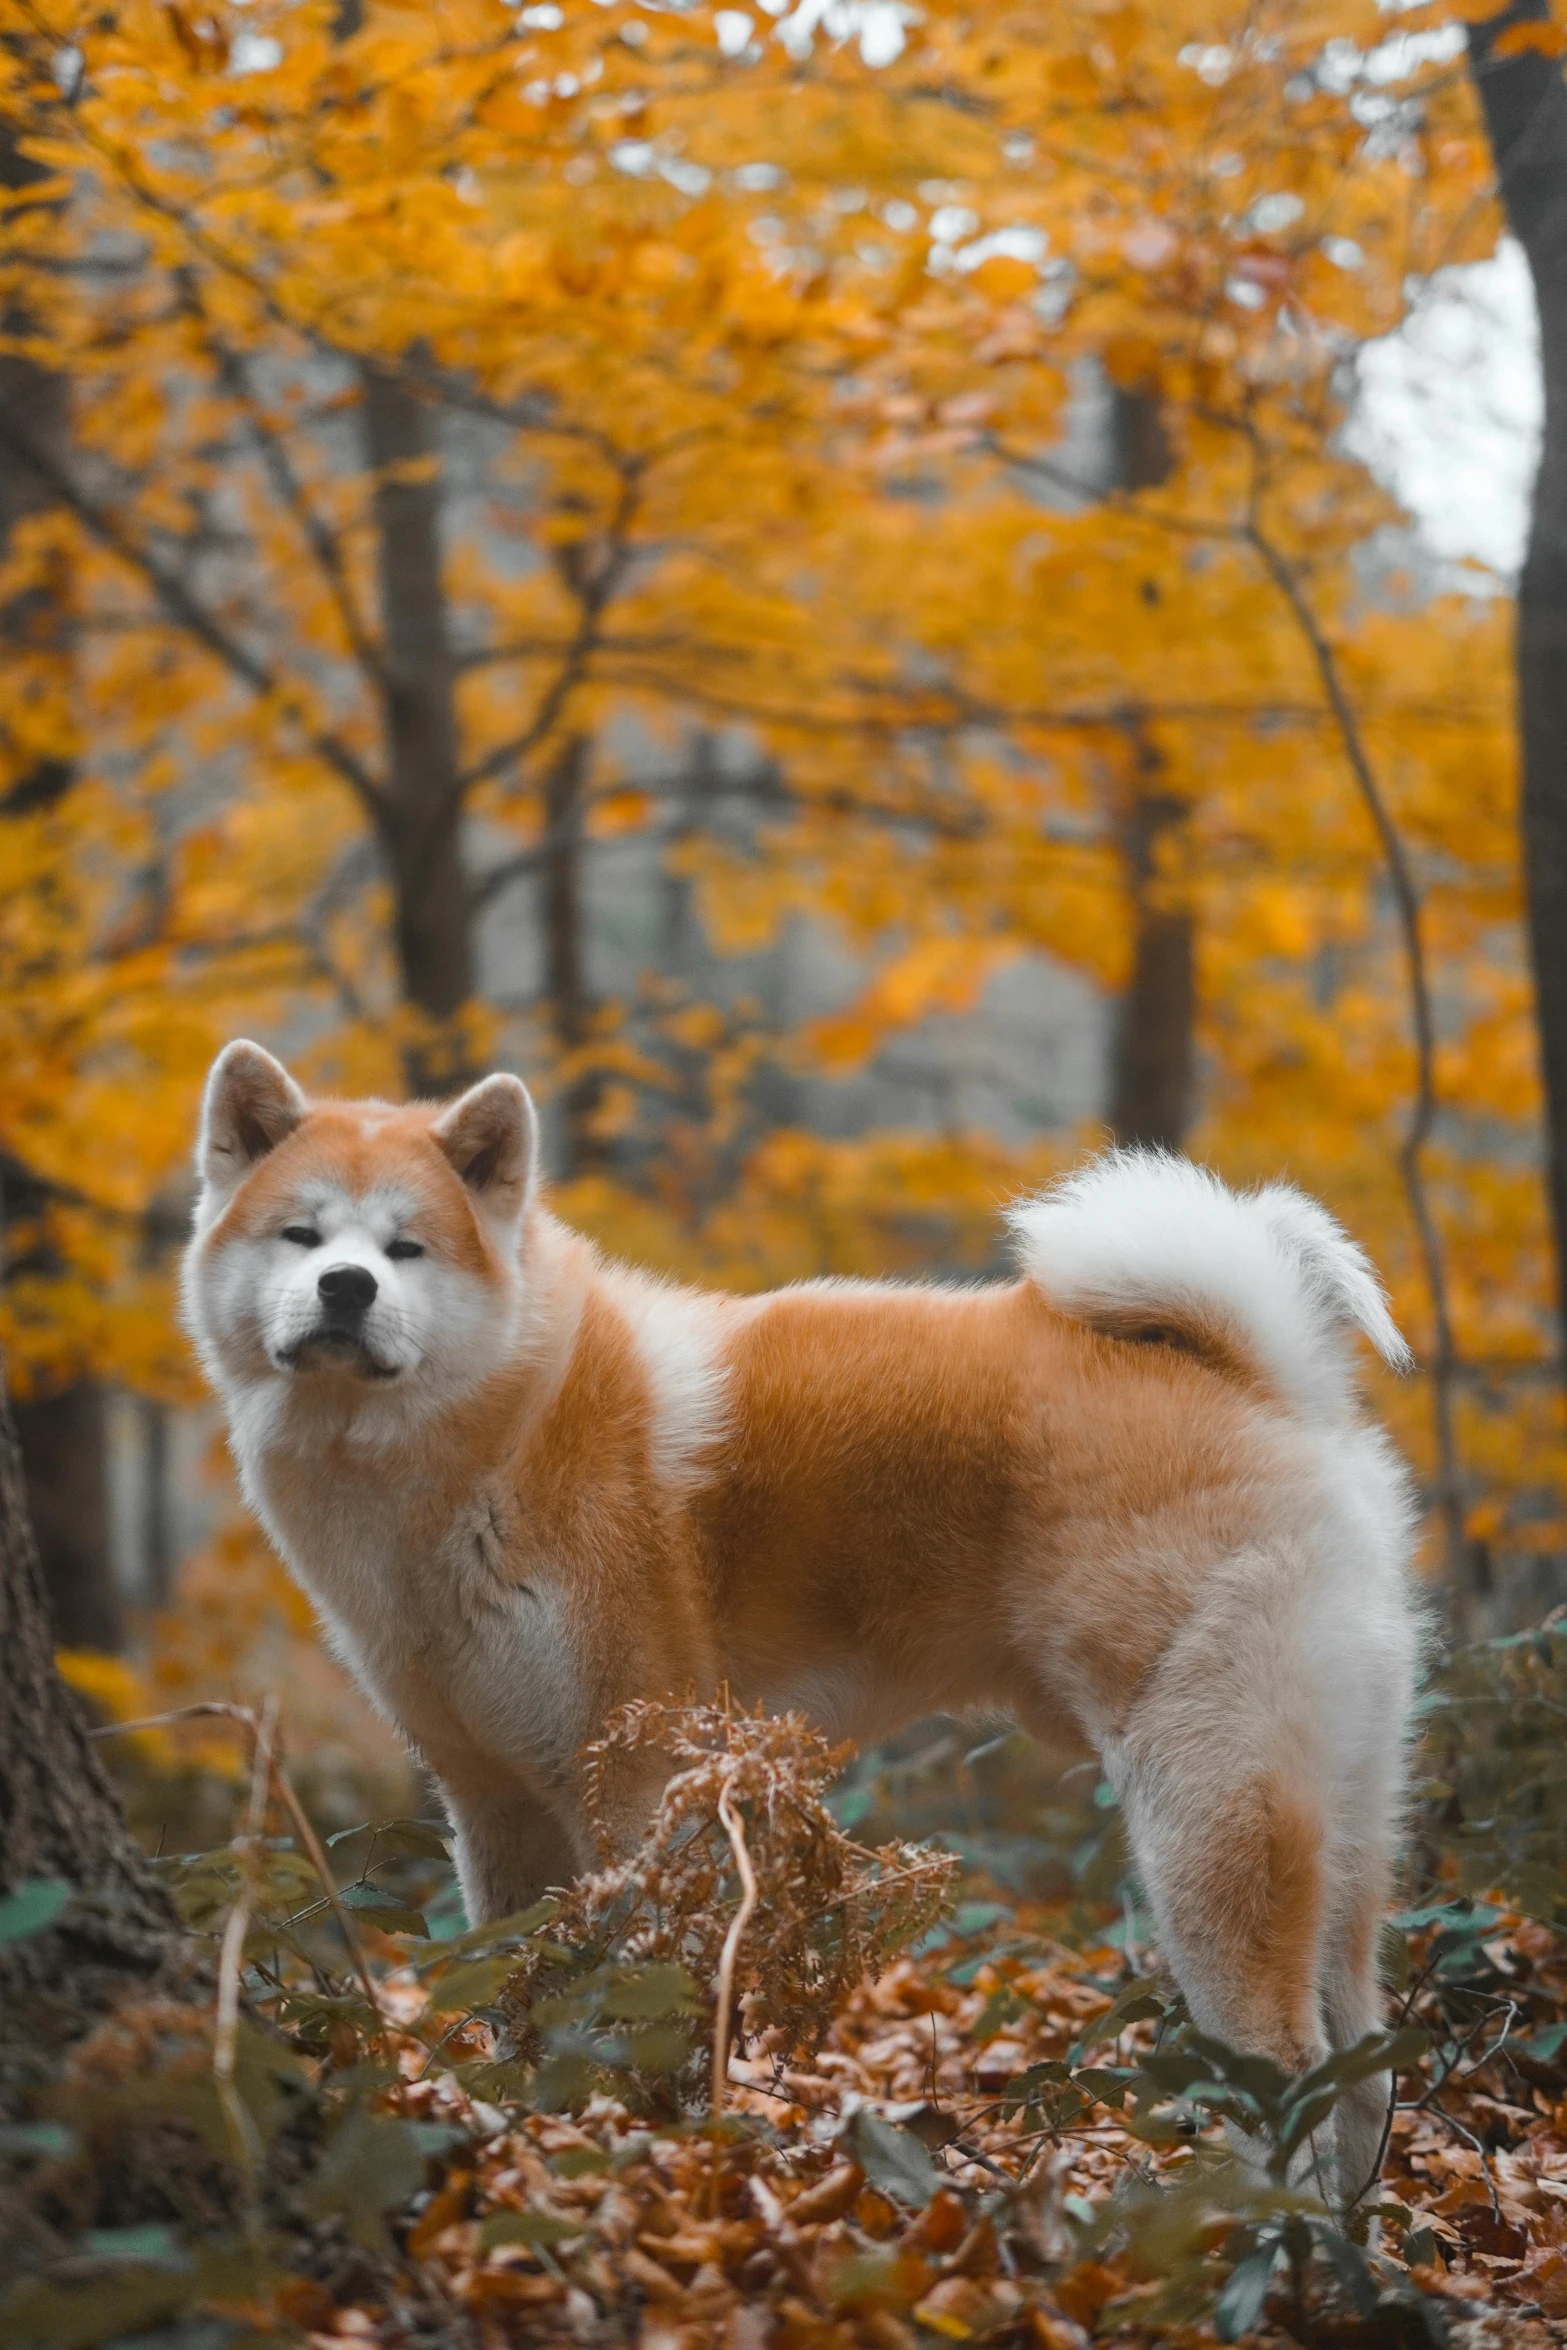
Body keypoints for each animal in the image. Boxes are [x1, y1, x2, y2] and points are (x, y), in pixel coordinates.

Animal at [184, 1048, 1418, 2199]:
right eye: (302, 1236)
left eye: (408, 1250)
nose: (345, 1287)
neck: (502, 1430)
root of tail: (1264, 1381)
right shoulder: (493, 1801)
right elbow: (521, 1992)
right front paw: (542, 2134)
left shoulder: (642, 1786)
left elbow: (638, 1994)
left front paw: (640, 2143)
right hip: (1341, 1816)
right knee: (1364, 2065)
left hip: (1202, 1808)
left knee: (1283, 2064)